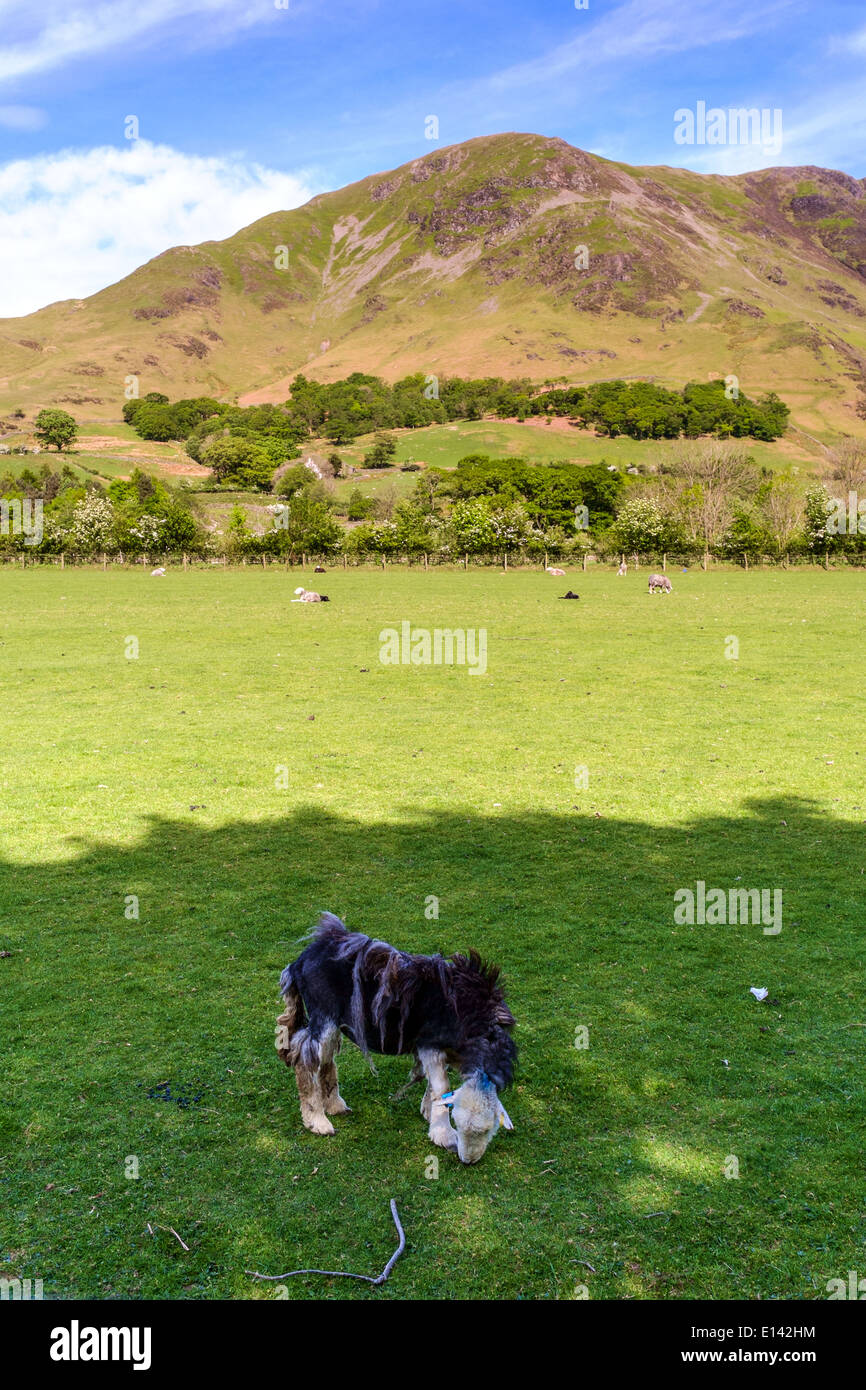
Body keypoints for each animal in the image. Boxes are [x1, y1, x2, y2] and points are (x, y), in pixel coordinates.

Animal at [278, 911, 514, 1162]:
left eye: (490, 1129)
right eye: (459, 1123)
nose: (469, 1161)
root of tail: (298, 962)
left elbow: (435, 1083)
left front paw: (428, 1111)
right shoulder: (429, 1043)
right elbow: (441, 1085)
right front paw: (443, 1134)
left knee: (325, 1059)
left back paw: (335, 1105)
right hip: (323, 1015)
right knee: (305, 1058)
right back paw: (317, 1121)